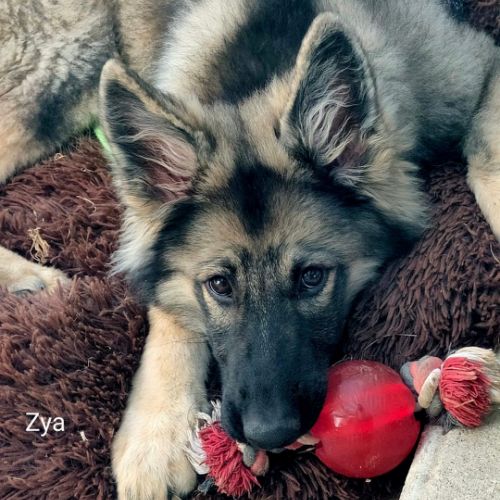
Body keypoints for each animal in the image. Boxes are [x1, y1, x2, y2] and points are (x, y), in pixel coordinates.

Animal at [1, 0, 499, 498]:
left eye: (312, 277)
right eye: (219, 284)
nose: (269, 433)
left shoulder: (478, 62)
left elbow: (485, 148)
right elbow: (167, 303)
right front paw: (156, 433)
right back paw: (26, 279)